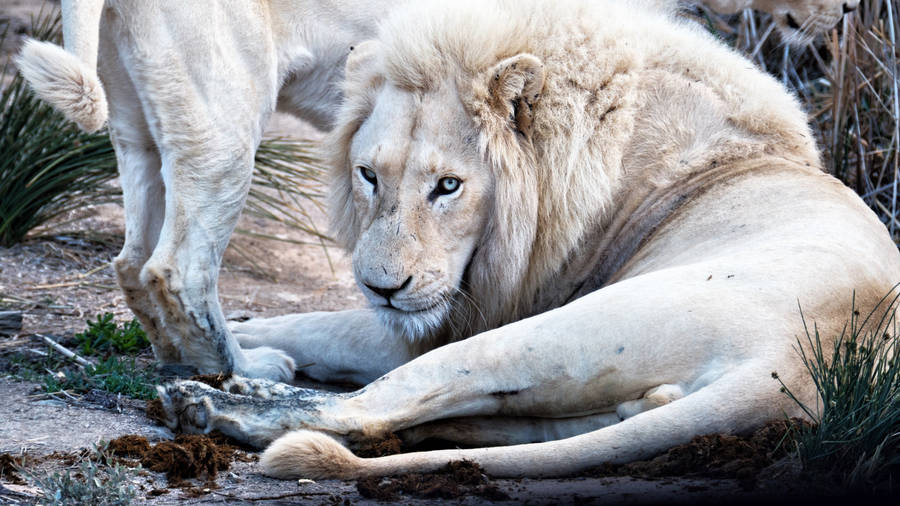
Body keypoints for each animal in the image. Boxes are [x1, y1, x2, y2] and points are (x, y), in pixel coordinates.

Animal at [154, 0, 900, 479]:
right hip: (571, 403)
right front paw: (235, 334)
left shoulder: (456, 312)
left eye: (448, 186)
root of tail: (799, 363)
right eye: (369, 175)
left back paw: (215, 404)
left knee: (373, 408)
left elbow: (322, 323)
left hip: (556, 329)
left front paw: (236, 344)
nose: (382, 287)